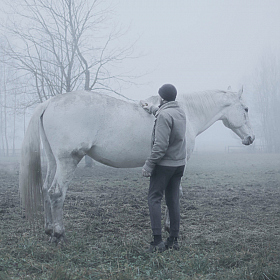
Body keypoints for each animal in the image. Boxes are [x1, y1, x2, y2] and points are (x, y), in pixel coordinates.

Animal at [18, 88, 255, 243]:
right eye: (245, 108)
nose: (251, 138)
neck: (185, 112)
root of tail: (49, 102)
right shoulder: (178, 166)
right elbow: (175, 194)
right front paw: (170, 227)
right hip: (68, 161)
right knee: (57, 193)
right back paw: (59, 234)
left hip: (52, 160)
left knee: (46, 190)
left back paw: (49, 229)